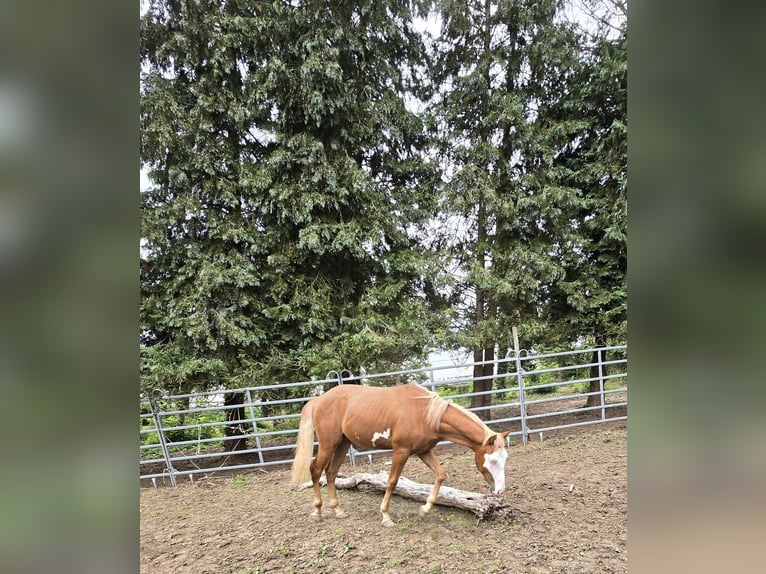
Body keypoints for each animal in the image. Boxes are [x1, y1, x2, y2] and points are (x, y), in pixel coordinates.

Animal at [291, 383, 510, 527]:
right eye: (492, 460)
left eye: (505, 459)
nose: (500, 490)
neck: (424, 413)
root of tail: (319, 399)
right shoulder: (401, 451)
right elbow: (392, 481)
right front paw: (386, 516)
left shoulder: (423, 451)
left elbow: (440, 475)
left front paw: (425, 509)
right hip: (329, 444)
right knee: (316, 470)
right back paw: (317, 512)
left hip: (343, 443)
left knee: (331, 472)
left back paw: (338, 510)